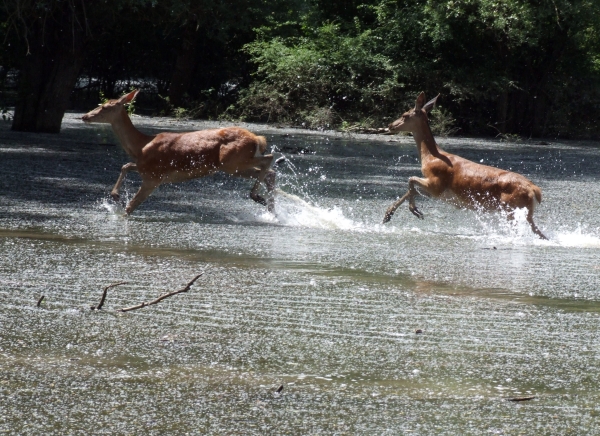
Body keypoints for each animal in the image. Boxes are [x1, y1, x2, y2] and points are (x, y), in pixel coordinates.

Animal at [81, 90, 276, 215]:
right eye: (101, 104)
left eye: (106, 107)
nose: (85, 116)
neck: (141, 146)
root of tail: (257, 138)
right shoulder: (147, 168)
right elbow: (126, 165)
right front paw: (116, 196)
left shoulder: (153, 177)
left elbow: (130, 208)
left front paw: (120, 204)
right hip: (235, 164)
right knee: (269, 172)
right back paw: (271, 209)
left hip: (231, 161)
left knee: (269, 160)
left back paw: (258, 198)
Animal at [382, 91, 548, 238]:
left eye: (405, 115)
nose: (390, 125)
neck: (429, 157)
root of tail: (534, 189)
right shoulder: (438, 192)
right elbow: (412, 190)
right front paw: (388, 214)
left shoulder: (436, 184)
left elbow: (410, 180)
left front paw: (415, 210)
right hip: (522, 211)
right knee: (538, 232)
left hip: (512, 207)